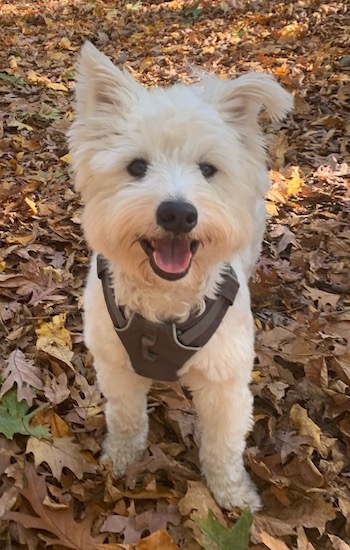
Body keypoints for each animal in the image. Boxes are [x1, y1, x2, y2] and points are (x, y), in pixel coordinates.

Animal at [68, 43, 292, 512]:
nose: (178, 213)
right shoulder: (115, 366)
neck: (164, 302)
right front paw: (121, 459)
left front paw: (232, 494)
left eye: (208, 169)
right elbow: (126, 417)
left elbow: (223, 446)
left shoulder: (225, 384)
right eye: (136, 167)